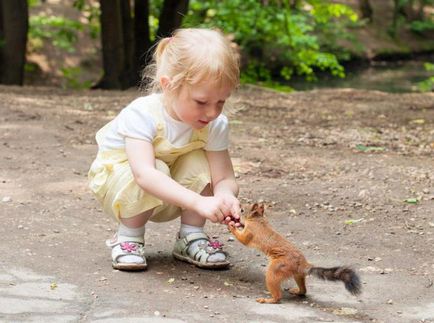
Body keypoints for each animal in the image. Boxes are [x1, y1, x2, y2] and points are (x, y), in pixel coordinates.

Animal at [229, 204, 362, 306]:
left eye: (242, 210)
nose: (238, 209)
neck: (257, 220)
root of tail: (303, 264)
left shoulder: (250, 231)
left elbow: (243, 239)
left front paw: (231, 226)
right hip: (298, 275)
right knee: (304, 290)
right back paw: (297, 291)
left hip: (276, 269)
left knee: (277, 296)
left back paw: (268, 300)